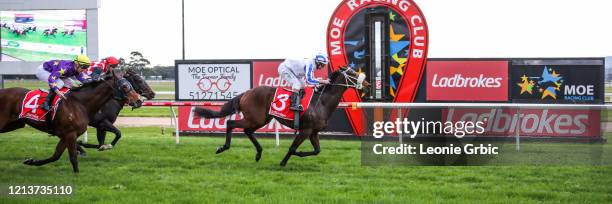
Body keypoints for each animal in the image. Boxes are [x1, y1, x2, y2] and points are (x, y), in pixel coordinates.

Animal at [0, 69, 141, 172]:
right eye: (125, 86)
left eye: (130, 84)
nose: (139, 100)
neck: (80, 104)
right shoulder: (72, 134)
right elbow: (73, 157)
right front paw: (77, 175)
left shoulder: (66, 135)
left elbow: (55, 156)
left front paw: (31, 161)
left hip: (14, 124)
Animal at [195, 67, 368, 167]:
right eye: (352, 73)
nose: (367, 84)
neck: (321, 102)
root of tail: (246, 93)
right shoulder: (305, 130)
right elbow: (292, 147)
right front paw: (284, 161)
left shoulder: (313, 132)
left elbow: (317, 150)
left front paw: (299, 154)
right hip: (255, 118)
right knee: (231, 123)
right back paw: (223, 147)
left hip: (262, 119)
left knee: (247, 131)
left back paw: (258, 153)